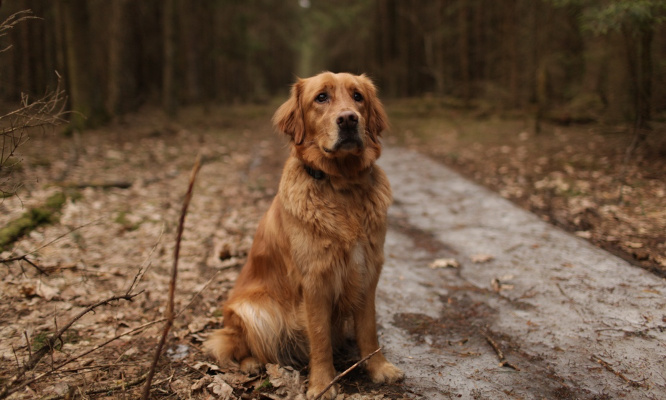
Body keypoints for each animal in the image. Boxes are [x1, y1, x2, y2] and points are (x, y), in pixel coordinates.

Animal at [204, 72, 400, 400]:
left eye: (357, 97)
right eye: (321, 98)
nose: (349, 119)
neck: (342, 186)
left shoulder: (368, 269)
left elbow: (368, 329)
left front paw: (378, 368)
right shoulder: (315, 279)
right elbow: (319, 338)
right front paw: (322, 384)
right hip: (253, 311)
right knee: (233, 343)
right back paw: (251, 364)